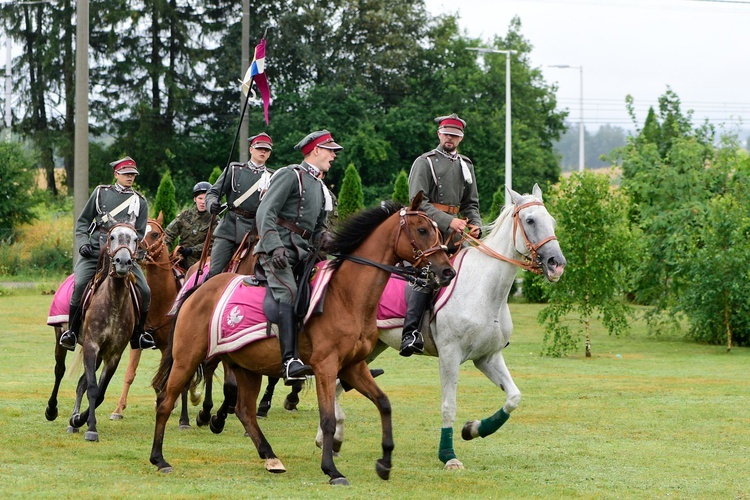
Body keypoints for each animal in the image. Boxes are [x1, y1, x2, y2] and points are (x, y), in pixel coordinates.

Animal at [68, 221, 142, 440]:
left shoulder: (113, 355)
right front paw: (91, 428)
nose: (123, 262)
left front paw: (80, 420)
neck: (114, 301)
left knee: (81, 384)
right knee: (60, 374)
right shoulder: (91, 346)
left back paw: (74, 420)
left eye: (136, 238)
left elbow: (99, 392)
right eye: (112, 237)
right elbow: (93, 389)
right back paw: (52, 411)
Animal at [150, 194, 456, 484]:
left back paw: (270, 456)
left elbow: (384, 403)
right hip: (187, 358)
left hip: (247, 366)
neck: (346, 296)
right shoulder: (325, 367)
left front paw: (385, 462)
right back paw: (160, 459)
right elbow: (328, 418)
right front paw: (332, 470)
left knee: (245, 411)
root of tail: (199, 288)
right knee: (166, 400)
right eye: (422, 230)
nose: (447, 272)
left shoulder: (353, 367)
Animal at [318, 184, 568, 468]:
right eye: (530, 220)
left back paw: (331, 439)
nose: (557, 264)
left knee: (337, 385)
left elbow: (513, 397)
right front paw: (448, 455)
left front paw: (473, 429)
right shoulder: (450, 355)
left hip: (370, 350)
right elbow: (449, 406)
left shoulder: (487, 357)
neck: (484, 289)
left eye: (552, 221)